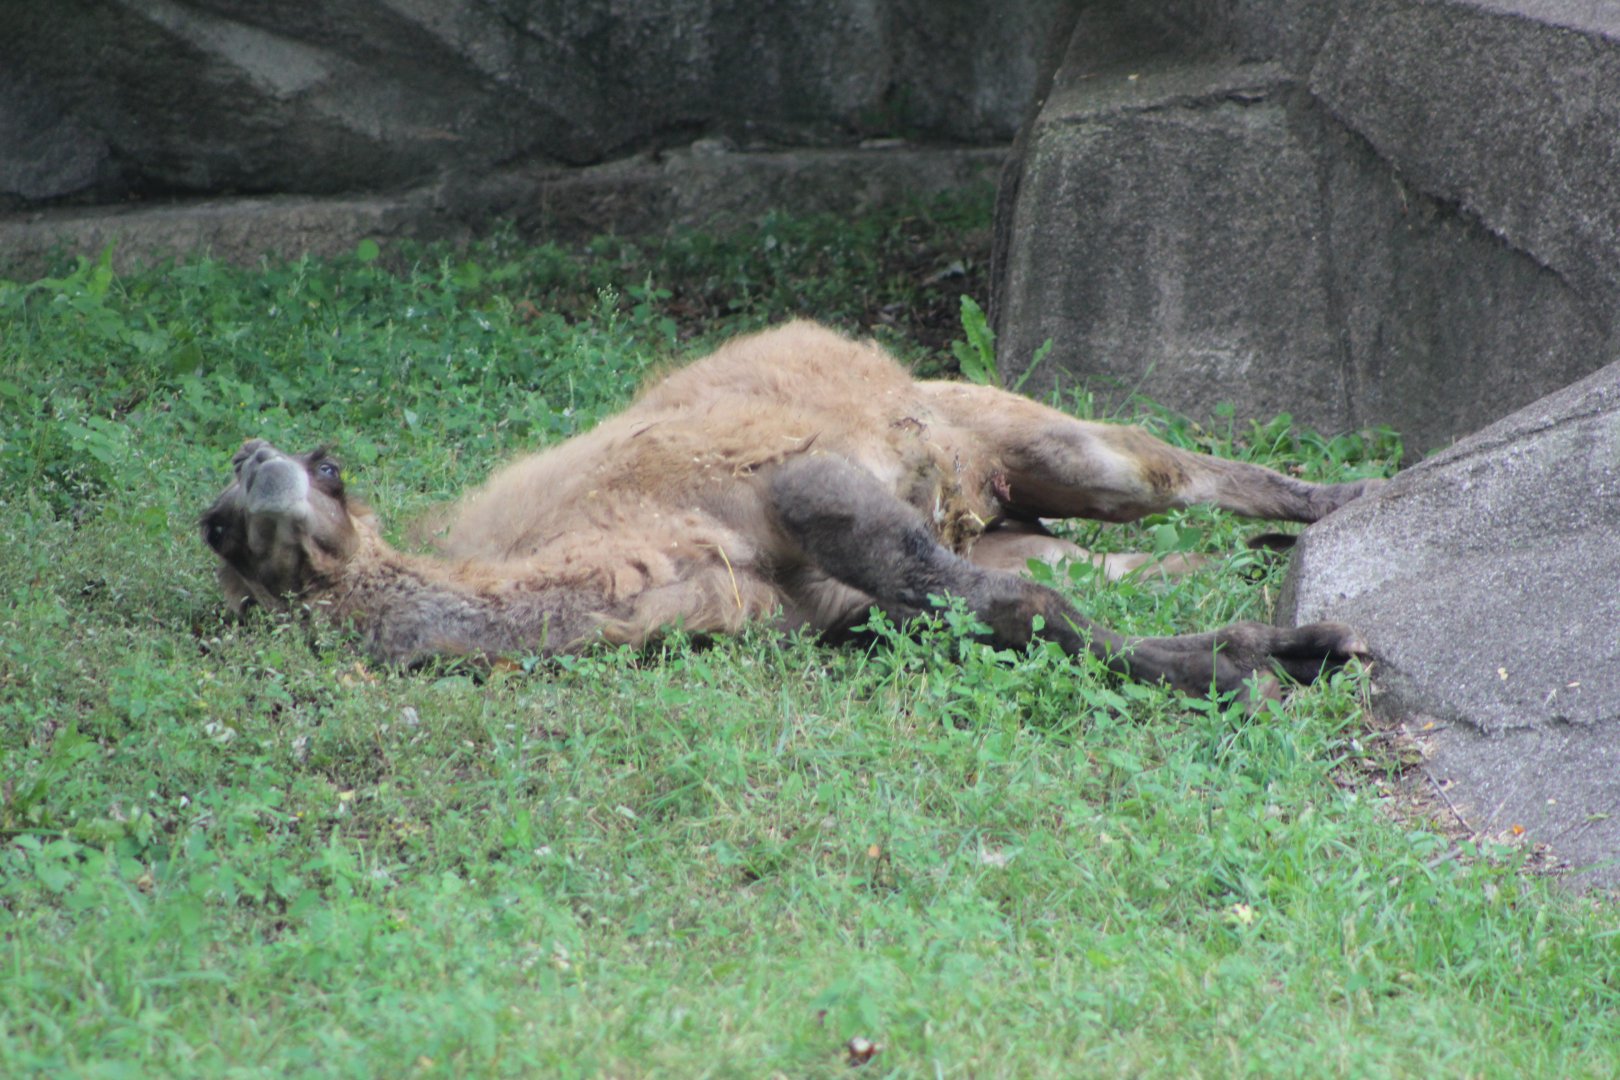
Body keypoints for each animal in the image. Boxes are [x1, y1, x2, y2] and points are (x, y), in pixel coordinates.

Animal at [200, 321, 1380, 698]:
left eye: (329, 466)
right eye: (216, 530)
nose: (253, 454)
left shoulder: (800, 487)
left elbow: (1018, 611)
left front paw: (1281, 660)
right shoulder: (824, 607)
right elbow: (1009, 611)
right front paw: (1277, 654)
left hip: (1007, 431)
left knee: (1164, 471)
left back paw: (1358, 496)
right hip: (1005, 514)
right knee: (1125, 560)